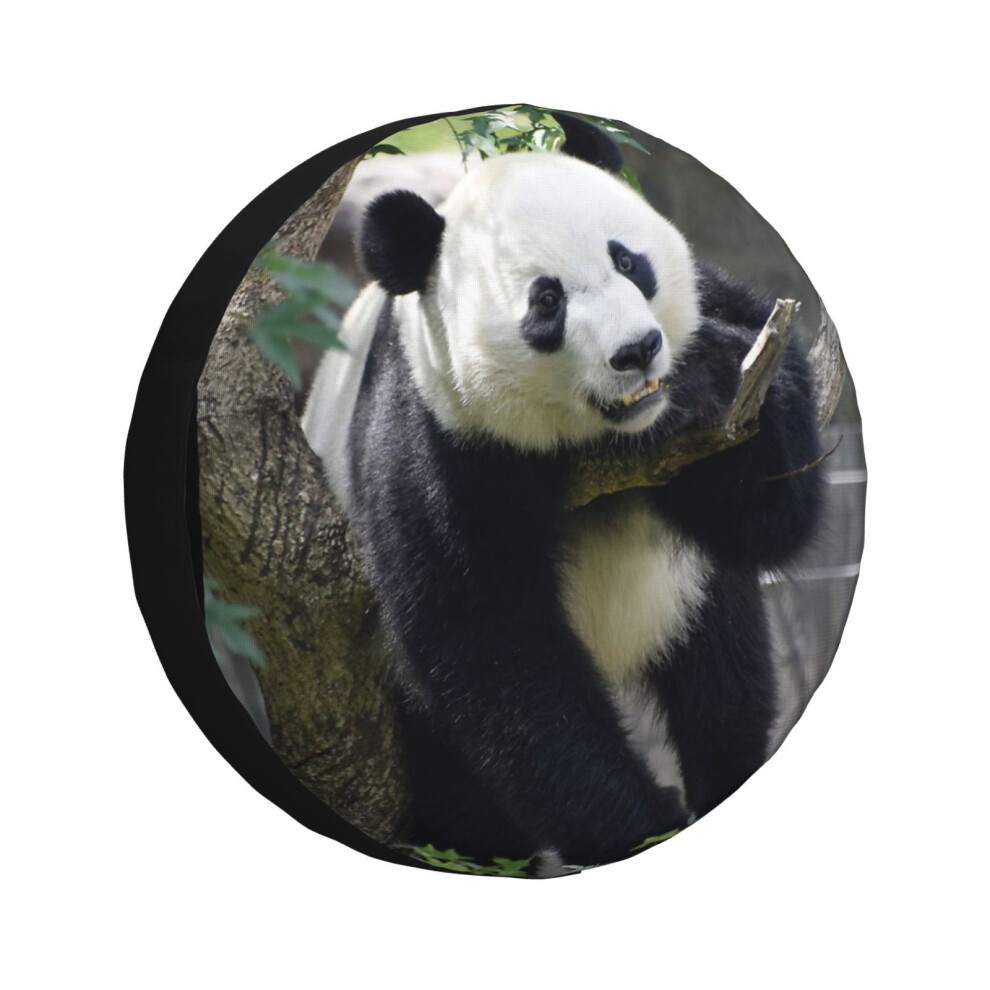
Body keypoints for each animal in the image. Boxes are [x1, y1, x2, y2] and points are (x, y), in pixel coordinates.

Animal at [302, 114, 823, 868]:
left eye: (628, 262)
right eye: (546, 301)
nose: (637, 351)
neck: (601, 439)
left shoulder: (717, 312)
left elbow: (771, 514)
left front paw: (716, 375)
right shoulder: (440, 438)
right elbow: (494, 646)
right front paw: (645, 824)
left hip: (686, 599)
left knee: (725, 675)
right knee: (465, 805)